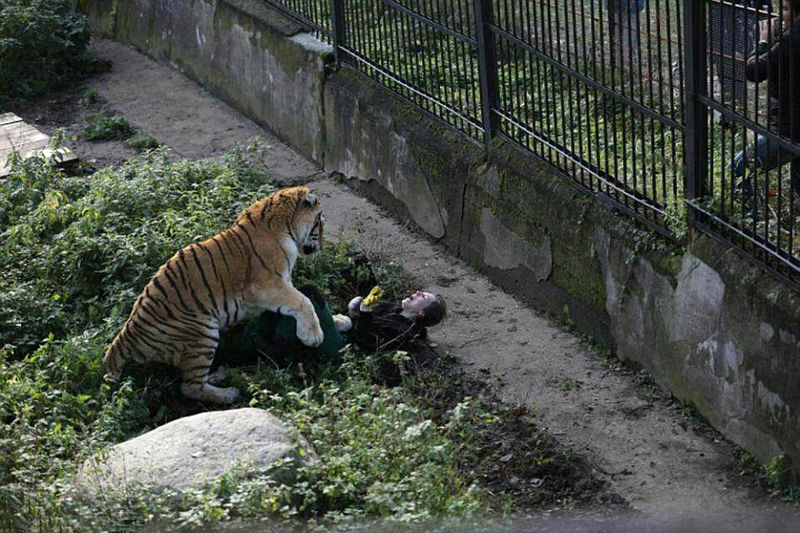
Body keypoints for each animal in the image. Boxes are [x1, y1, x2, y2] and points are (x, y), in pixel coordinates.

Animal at [102, 185, 324, 402]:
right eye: (320, 221)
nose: (322, 243)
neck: (286, 225)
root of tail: (127, 333)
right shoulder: (264, 285)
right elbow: (302, 301)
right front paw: (313, 336)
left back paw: (221, 374)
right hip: (202, 333)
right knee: (190, 387)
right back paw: (228, 394)